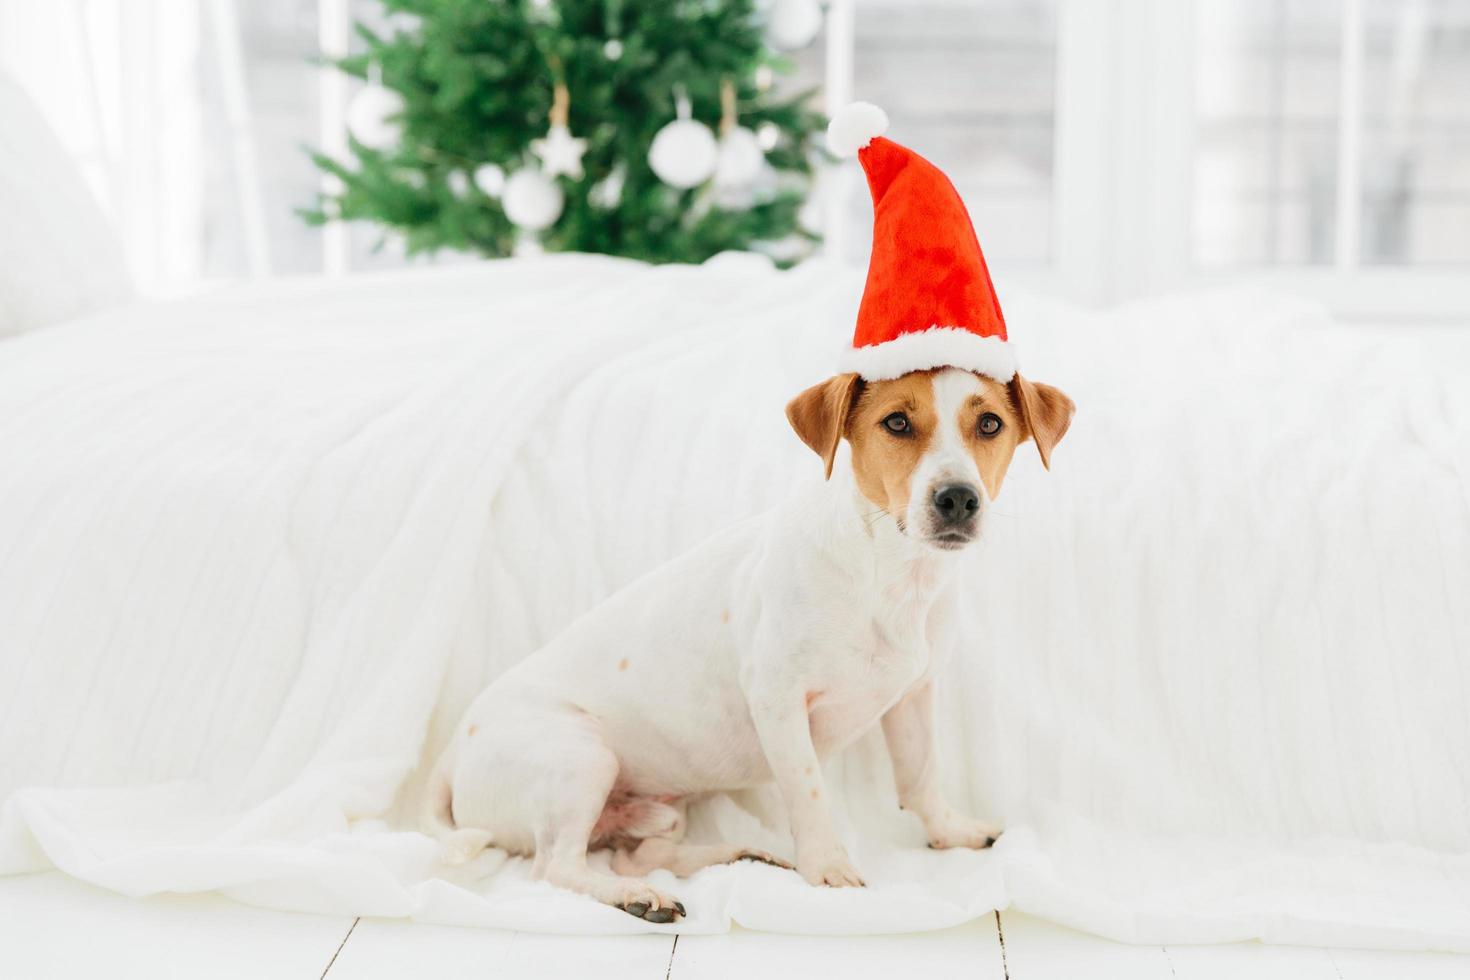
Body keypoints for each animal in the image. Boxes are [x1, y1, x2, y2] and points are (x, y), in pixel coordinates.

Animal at [420, 364, 1076, 922]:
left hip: (660, 808)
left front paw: (950, 832)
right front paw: (829, 869)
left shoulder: (914, 696)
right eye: (896, 423)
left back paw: (732, 856)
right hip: (581, 759)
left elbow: (922, 777)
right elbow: (809, 793)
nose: (958, 498)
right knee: (557, 868)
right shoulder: (779, 702)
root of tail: (450, 755)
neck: (891, 575)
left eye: (989, 424)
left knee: (637, 852)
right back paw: (637, 896)